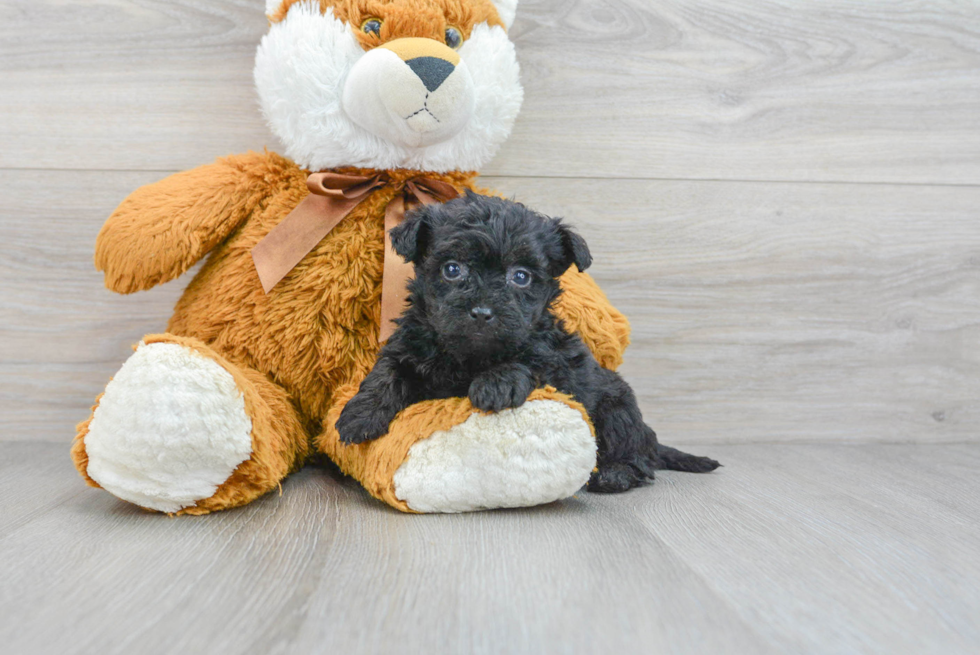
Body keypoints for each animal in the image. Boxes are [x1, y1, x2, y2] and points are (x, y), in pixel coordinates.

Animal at [336, 191, 720, 492]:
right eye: (452, 269)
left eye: (520, 277)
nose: (482, 312)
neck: (469, 357)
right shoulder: (410, 344)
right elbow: (386, 372)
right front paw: (360, 415)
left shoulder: (553, 359)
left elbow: (528, 359)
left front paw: (495, 383)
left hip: (618, 411)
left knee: (638, 460)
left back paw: (614, 475)